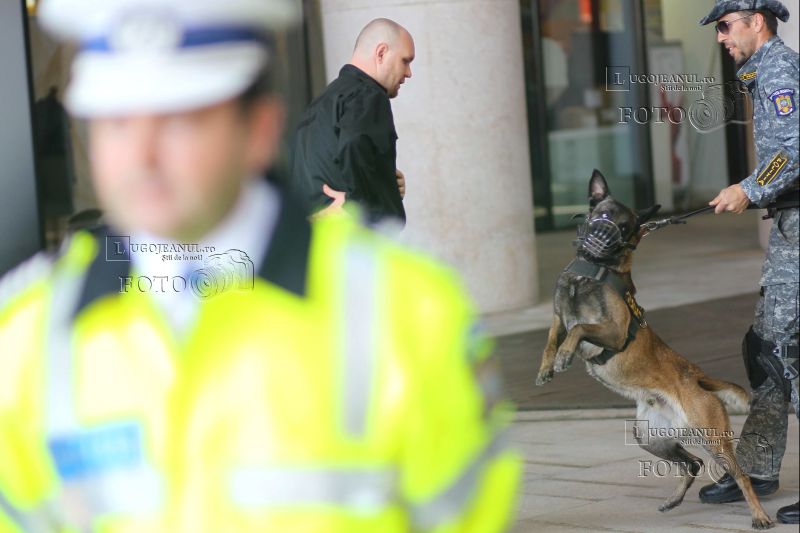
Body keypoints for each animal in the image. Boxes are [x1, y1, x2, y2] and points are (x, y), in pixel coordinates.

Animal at [535, 169, 773, 530]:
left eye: (625, 227)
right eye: (603, 214)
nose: (603, 236)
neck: (596, 270)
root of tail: (699, 379)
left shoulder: (614, 332)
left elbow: (578, 330)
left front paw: (564, 356)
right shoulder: (557, 317)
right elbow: (552, 337)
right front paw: (547, 367)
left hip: (711, 437)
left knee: (740, 475)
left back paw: (759, 516)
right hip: (648, 436)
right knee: (692, 464)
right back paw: (674, 500)